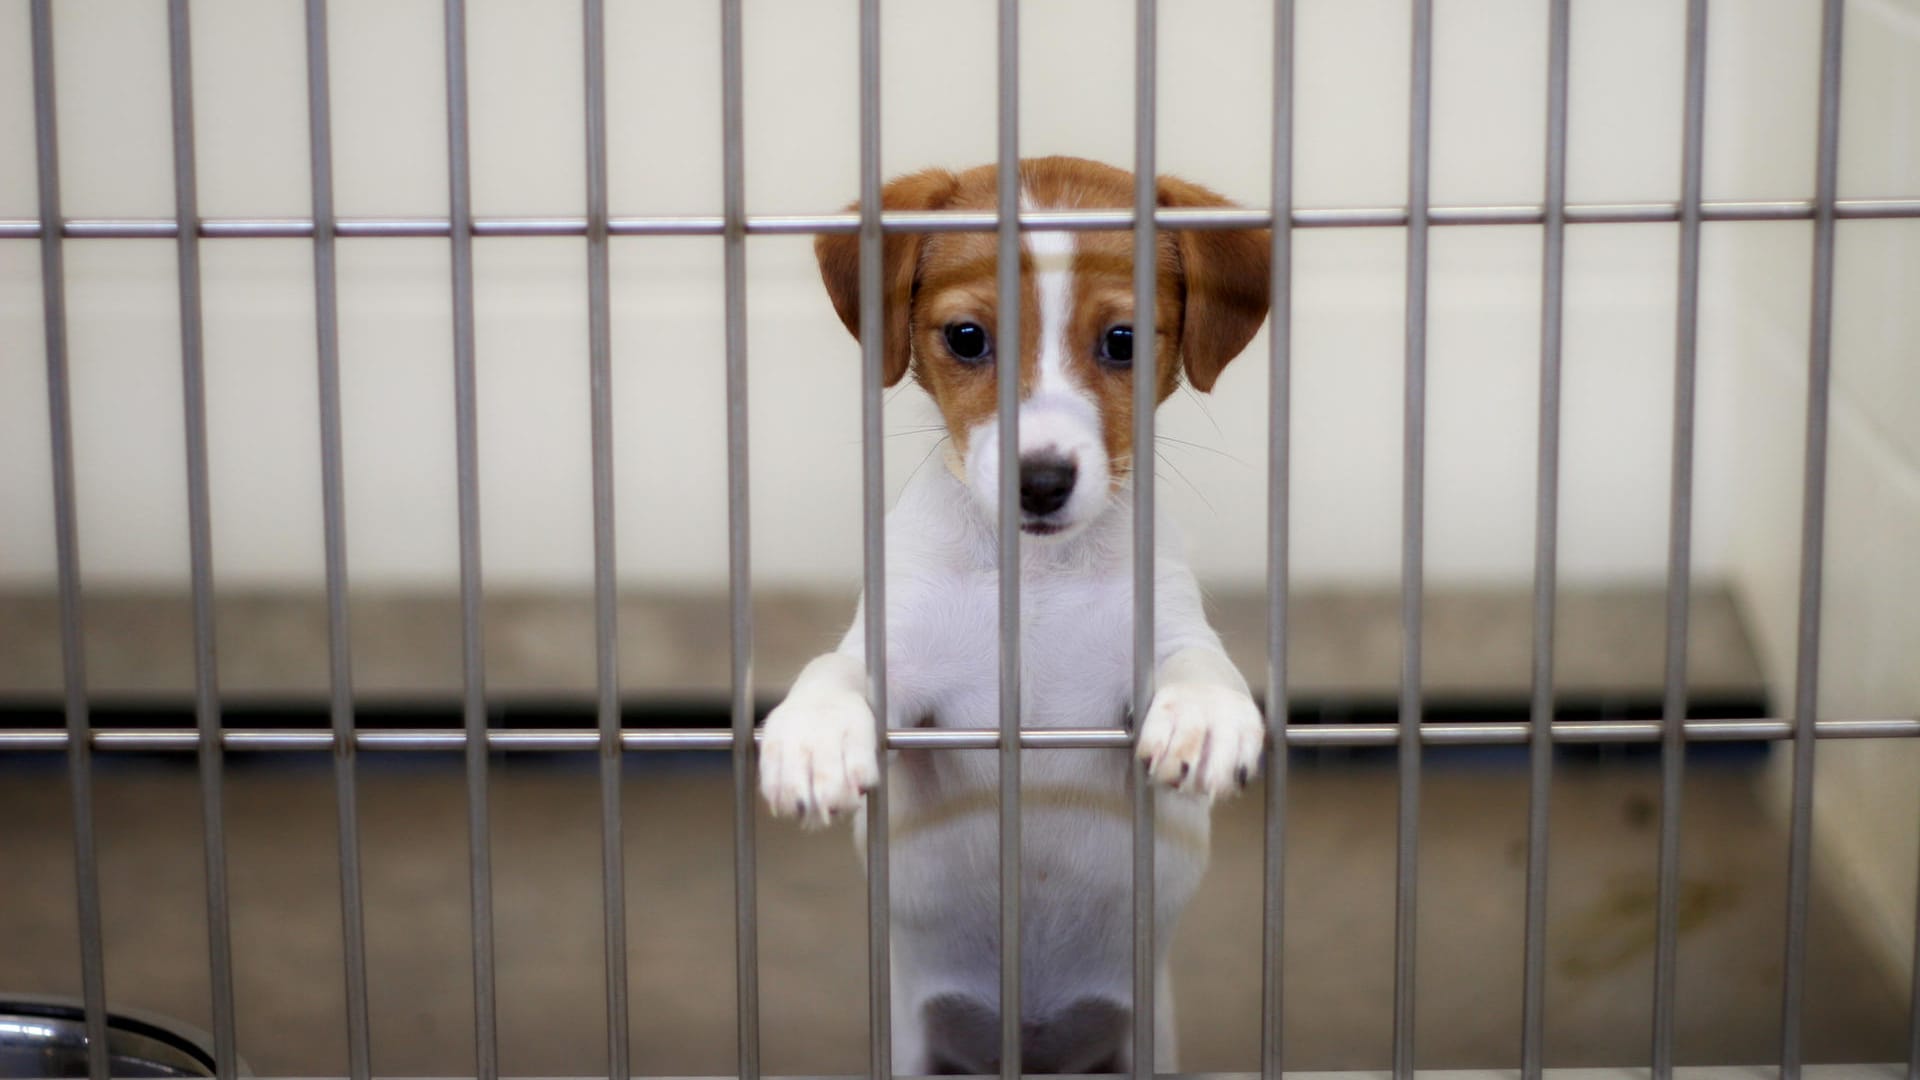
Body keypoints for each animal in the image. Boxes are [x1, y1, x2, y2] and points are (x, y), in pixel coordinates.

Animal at [756, 153, 1267, 1068]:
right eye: (967, 337)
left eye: (1124, 341)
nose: (1041, 481)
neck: (1038, 577)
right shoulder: (905, 672)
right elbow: (837, 670)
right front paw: (813, 739)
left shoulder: (1158, 631)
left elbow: (1198, 660)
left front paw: (1206, 717)